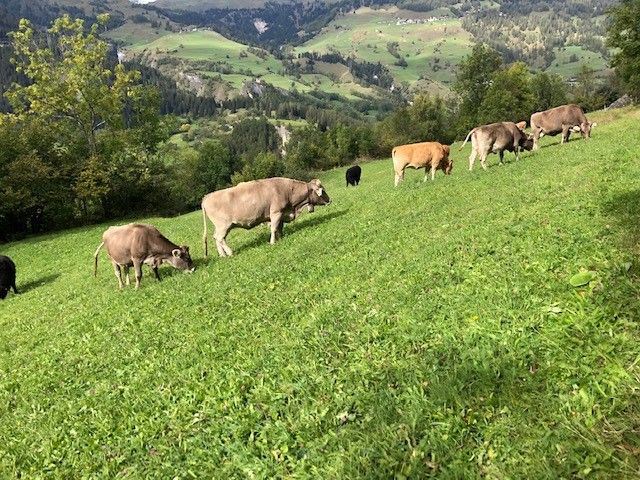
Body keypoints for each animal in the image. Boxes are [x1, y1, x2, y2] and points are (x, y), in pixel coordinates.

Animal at [201, 177, 331, 257]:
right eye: (323, 191)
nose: (330, 200)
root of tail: (206, 197)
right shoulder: (276, 213)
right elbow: (274, 228)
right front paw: (273, 242)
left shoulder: (281, 214)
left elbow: (279, 228)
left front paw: (281, 238)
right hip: (223, 225)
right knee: (219, 238)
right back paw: (229, 252)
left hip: (220, 227)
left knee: (216, 238)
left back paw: (223, 255)